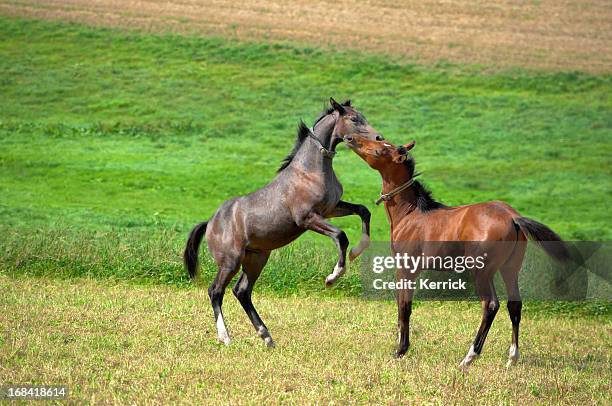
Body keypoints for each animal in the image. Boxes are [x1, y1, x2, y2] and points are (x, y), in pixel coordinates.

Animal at [183, 98, 382, 346]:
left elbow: (364, 211)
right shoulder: (307, 218)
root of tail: (210, 222)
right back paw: (225, 337)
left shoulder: (331, 209)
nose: (379, 139)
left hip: (256, 259)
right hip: (231, 261)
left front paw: (357, 250)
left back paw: (267, 337)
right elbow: (340, 235)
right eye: (354, 119)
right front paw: (332, 277)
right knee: (215, 291)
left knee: (242, 291)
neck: (310, 170)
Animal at [350, 136, 572, 372]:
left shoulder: (406, 267)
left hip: (482, 271)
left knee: (490, 304)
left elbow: (404, 306)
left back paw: (469, 357)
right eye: (380, 140)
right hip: (510, 268)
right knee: (515, 304)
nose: (351, 139)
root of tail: (513, 217)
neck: (411, 213)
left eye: (380, 150)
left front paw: (400, 350)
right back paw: (512, 358)